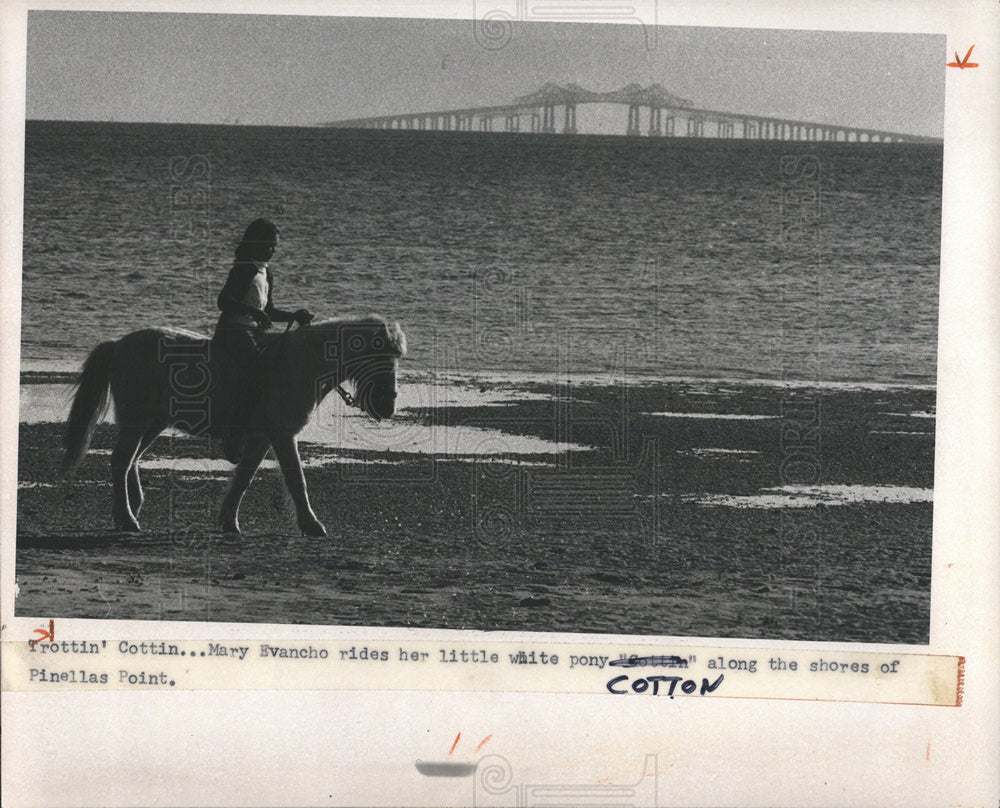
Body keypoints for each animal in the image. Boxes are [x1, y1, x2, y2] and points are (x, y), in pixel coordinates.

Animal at [61, 316, 406, 536]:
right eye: (378, 356)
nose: (388, 406)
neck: (300, 365)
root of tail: (119, 345)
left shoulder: (263, 438)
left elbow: (244, 477)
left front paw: (228, 521)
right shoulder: (282, 435)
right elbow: (296, 480)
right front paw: (312, 525)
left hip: (152, 423)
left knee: (131, 460)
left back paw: (133, 507)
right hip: (137, 422)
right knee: (121, 461)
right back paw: (127, 519)